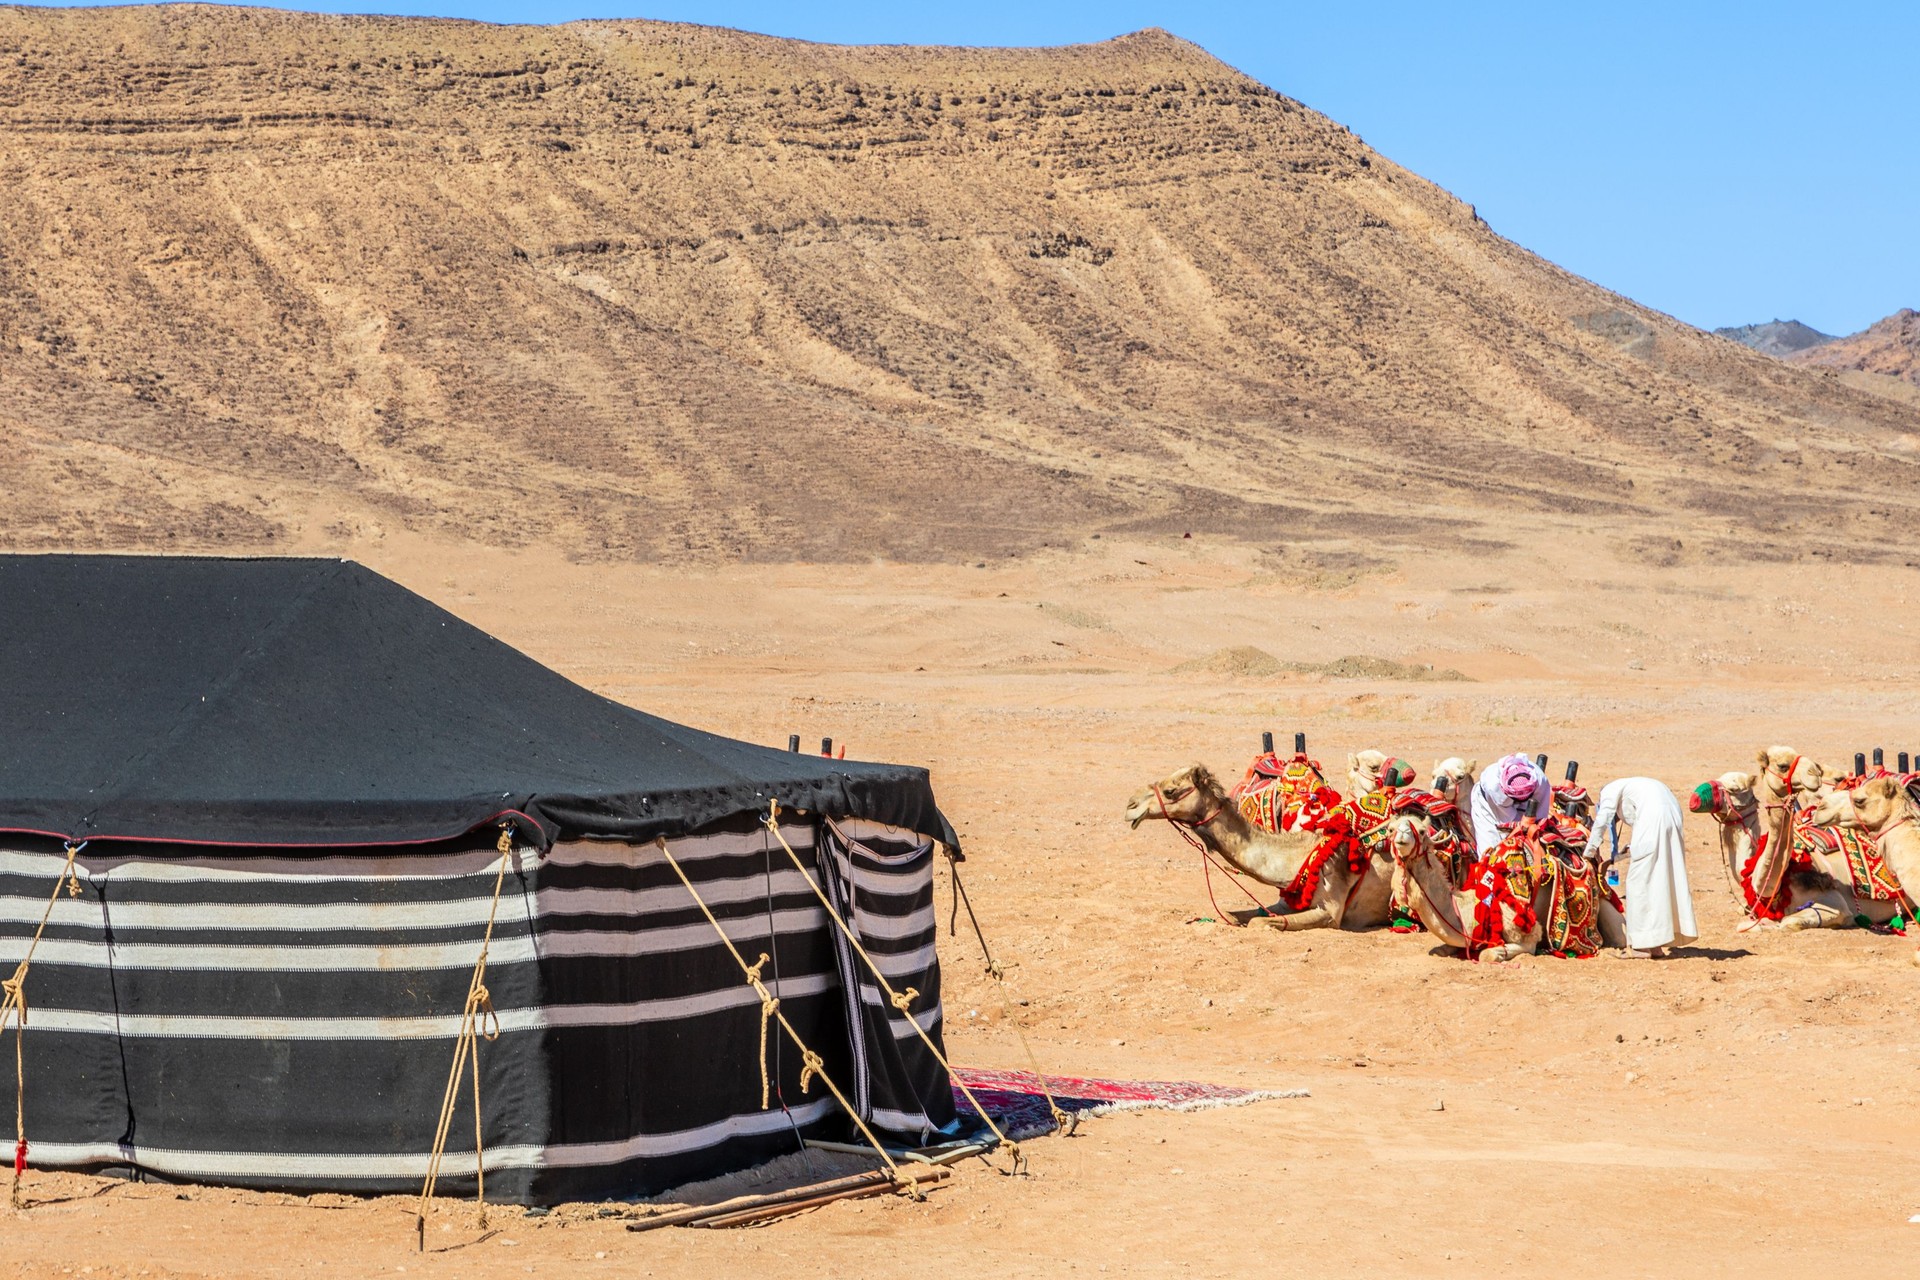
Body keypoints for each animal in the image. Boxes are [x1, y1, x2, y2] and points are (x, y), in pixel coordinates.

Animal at [1121, 759, 1397, 932]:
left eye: (1170, 790)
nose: (1130, 805)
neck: (1303, 854)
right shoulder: (1286, 902)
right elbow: (1235, 915)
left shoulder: (1331, 911)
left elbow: (1258, 923)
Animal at [1390, 809, 1628, 959]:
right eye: (1391, 829)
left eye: (1422, 831)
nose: (1402, 835)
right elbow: (1440, 949)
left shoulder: (1524, 927)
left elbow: (1490, 954)